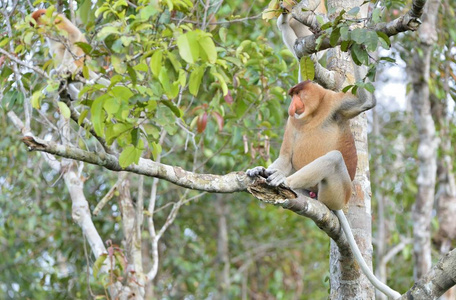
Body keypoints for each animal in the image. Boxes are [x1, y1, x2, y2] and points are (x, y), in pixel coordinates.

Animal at [248, 81, 400, 298]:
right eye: (292, 95)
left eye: (298, 94)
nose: (292, 106)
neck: (313, 113)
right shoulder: (292, 122)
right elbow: (285, 158)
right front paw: (259, 169)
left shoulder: (336, 102)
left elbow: (365, 102)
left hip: (338, 192)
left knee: (334, 157)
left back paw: (283, 181)